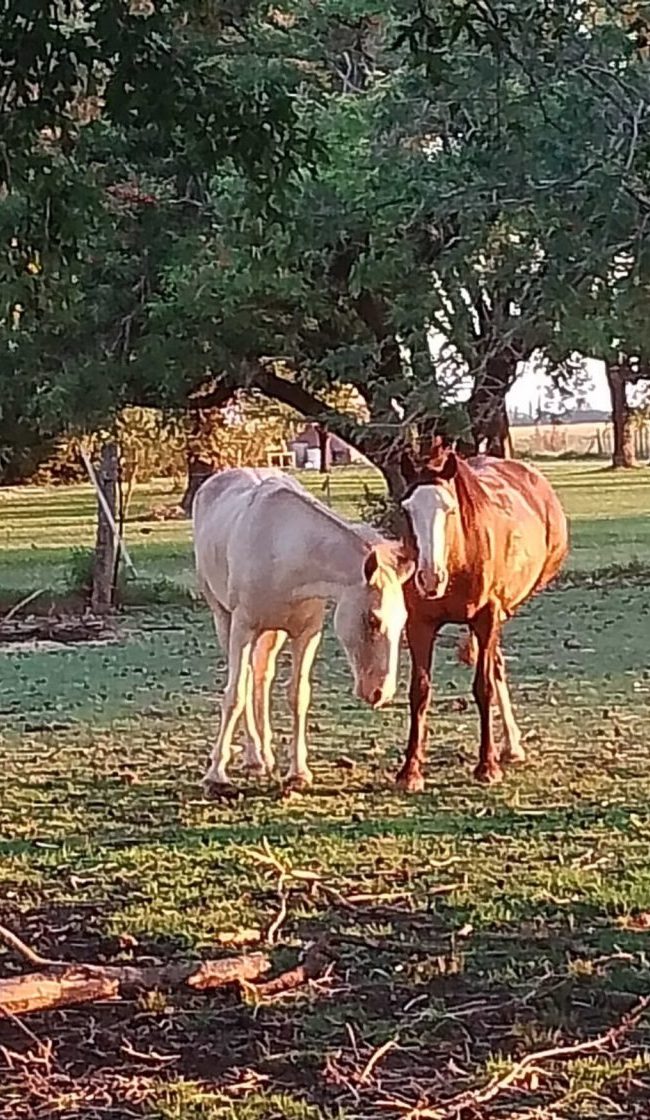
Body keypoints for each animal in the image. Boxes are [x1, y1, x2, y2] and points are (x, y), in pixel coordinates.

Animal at [192, 467, 413, 792]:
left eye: (403, 622)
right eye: (373, 620)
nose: (379, 693)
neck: (281, 547)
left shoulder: (307, 634)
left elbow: (298, 696)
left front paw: (298, 773)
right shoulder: (243, 627)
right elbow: (234, 695)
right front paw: (216, 774)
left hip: (273, 634)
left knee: (261, 678)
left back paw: (263, 755)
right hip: (226, 620)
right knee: (247, 680)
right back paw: (253, 757)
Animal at [397, 448, 568, 790]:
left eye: (449, 509)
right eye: (408, 511)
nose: (429, 578)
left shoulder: (487, 617)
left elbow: (483, 687)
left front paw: (486, 766)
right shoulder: (419, 623)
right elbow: (419, 691)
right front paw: (410, 771)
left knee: (495, 667)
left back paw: (510, 747)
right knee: (498, 663)